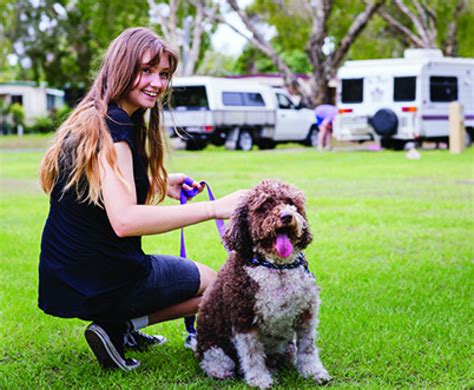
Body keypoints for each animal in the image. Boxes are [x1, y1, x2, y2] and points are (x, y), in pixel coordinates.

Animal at [193, 179, 330, 386]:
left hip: (287, 348)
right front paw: (259, 378)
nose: (287, 216)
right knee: (215, 361)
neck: (277, 268)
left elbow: (308, 348)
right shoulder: (244, 318)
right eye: (264, 206)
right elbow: (252, 354)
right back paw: (220, 370)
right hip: (214, 347)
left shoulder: (306, 314)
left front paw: (314, 372)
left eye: (291, 202)